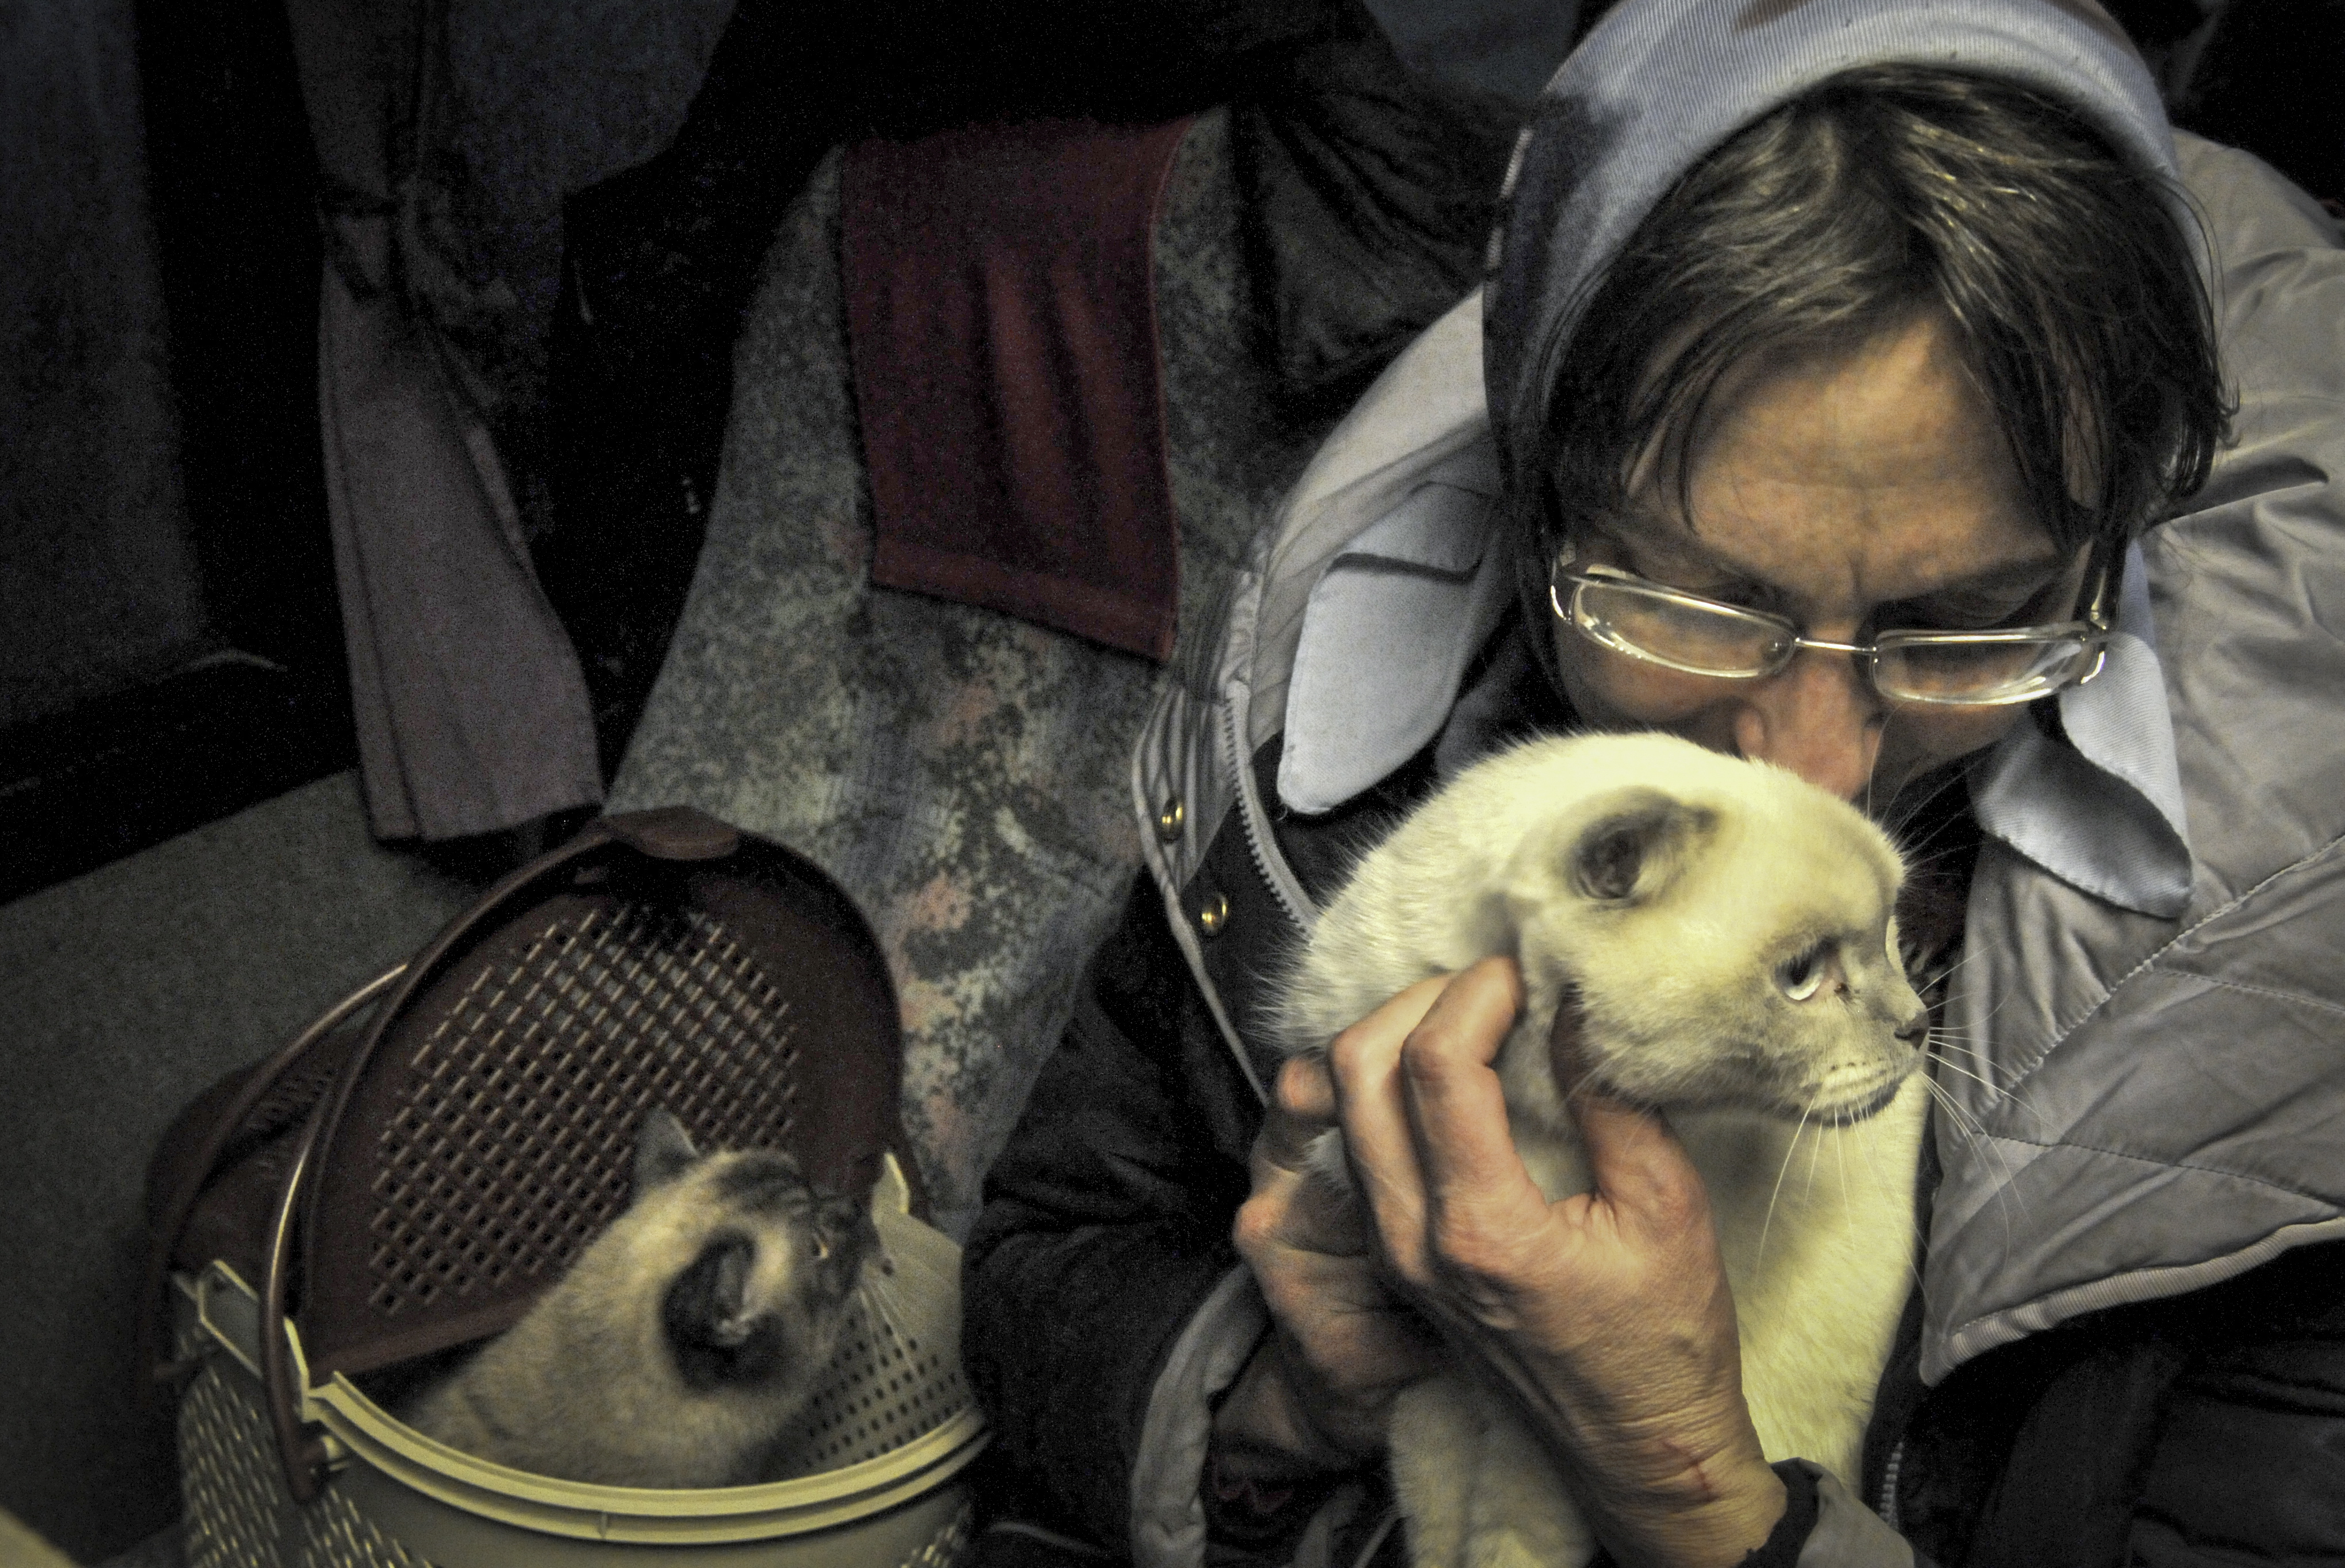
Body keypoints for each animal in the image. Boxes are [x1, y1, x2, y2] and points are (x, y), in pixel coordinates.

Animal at [1285, 736, 1923, 1565]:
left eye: (1891, 935)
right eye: (1802, 977)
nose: (1919, 1026)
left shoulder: (1542, 1438)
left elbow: (1507, 1545)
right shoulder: (1439, 1393)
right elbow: (1436, 1527)